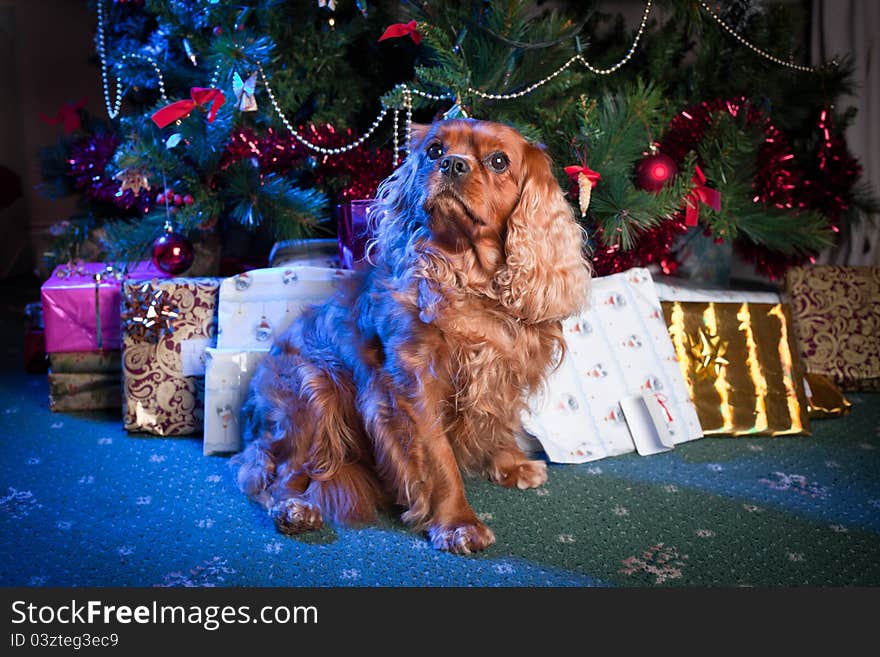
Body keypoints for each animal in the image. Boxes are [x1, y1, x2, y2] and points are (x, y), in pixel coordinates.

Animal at [234, 119, 592, 552]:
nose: (453, 164)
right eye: (435, 150)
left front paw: (510, 464)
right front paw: (458, 524)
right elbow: (440, 462)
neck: (470, 283)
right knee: (271, 476)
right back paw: (294, 509)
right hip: (314, 391)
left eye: (499, 161)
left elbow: (500, 422)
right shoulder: (413, 387)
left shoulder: (503, 372)